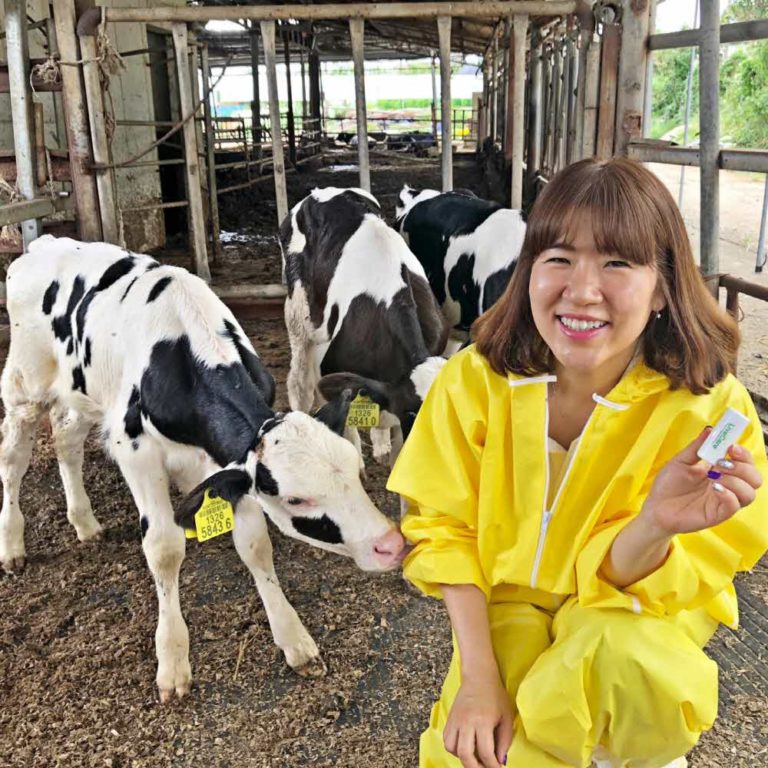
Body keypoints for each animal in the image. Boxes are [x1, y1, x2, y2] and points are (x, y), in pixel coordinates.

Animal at [0, 235, 405, 701]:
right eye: (295, 499)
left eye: (356, 471)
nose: (391, 544)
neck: (182, 350)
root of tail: (45, 243)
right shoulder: (135, 451)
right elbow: (164, 548)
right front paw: (173, 660)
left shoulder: (227, 464)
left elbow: (255, 544)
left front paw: (294, 639)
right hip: (24, 387)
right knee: (13, 458)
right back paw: (12, 545)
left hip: (81, 392)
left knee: (66, 440)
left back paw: (84, 522)